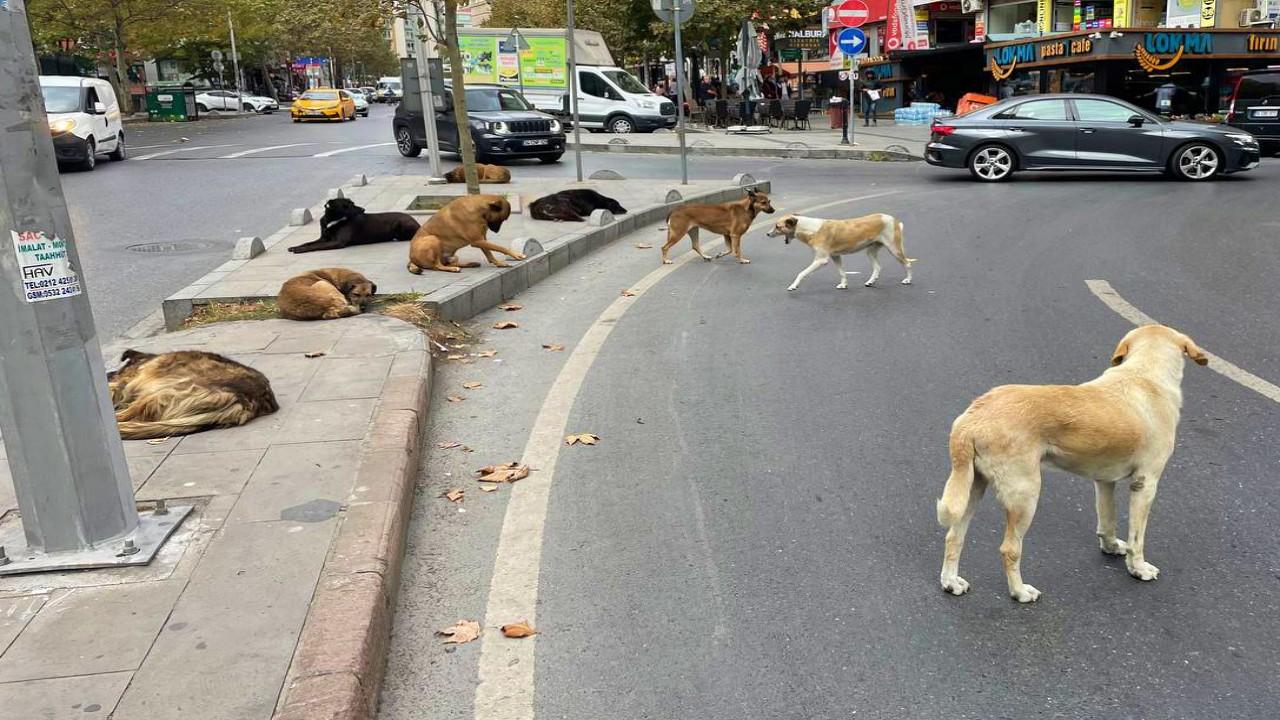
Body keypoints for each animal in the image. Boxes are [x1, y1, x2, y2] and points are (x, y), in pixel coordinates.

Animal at [286, 196, 419, 252]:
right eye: (347, 205)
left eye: (352, 203)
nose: (363, 209)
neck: (333, 220)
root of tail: (417, 222)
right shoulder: (323, 238)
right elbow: (309, 243)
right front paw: (295, 247)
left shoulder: (338, 242)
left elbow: (315, 246)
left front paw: (300, 250)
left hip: (400, 225)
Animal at [762, 211, 916, 289]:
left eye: (777, 226)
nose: (767, 234)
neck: (809, 228)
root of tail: (893, 219)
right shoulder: (836, 256)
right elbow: (842, 272)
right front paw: (843, 284)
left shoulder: (821, 260)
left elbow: (801, 273)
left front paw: (794, 286)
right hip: (870, 251)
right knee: (877, 267)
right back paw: (871, 281)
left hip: (894, 249)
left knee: (907, 263)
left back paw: (908, 280)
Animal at [936, 324, 1203, 599]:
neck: (1145, 373)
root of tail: (972, 418)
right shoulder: (1145, 483)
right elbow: (1137, 539)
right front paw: (1138, 568)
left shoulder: (1104, 481)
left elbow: (1107, 520)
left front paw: (1110, 546)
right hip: (1025, 496)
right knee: (1009, 549)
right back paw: (1020, 592)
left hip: (972, 488)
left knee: (953, 536)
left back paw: (951, 582)